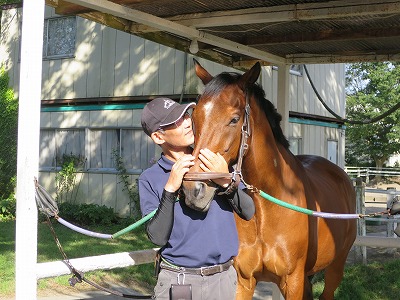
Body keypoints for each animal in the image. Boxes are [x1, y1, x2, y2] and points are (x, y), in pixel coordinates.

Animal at [181, 59, 356, 298]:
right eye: (194, 118)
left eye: (234, 119)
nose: (193, 190)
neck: (266, 208)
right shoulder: (244, 280)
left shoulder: (292, 281)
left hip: (335, 268)